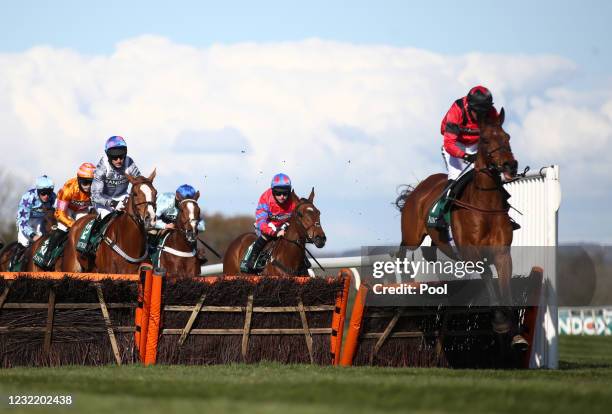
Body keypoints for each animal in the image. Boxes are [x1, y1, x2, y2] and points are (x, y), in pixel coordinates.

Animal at [396, 107, 524, 350]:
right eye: (485, 139)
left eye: (508, 137)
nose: (510, 165)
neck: (485, 206)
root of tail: (419, 187)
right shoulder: (472, 254)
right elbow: (488, 278)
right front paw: (500, 321)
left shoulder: (503, 254)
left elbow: (507, 290)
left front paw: (516, 334)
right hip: (412, 235)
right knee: (400, 251)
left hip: (434, 241)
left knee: (430, 254)